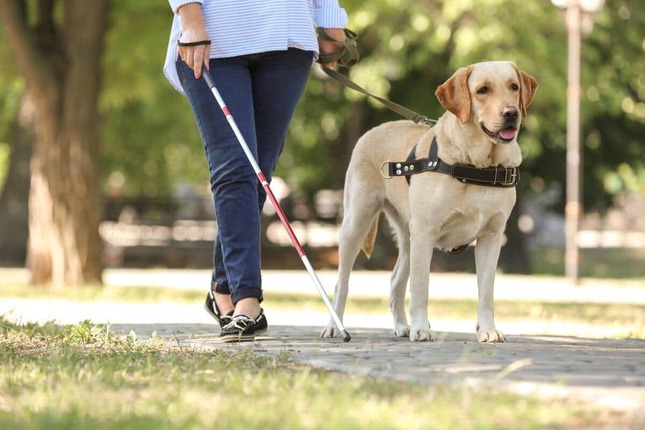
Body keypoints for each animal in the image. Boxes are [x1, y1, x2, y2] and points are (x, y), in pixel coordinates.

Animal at [320, 60, 536, 342]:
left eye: (514, 87)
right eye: (482, 90)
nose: (511, 112)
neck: (476, 167)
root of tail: (376, 129)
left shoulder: (492, 237)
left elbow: (486, 291)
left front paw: (487, 329)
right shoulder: (425, 232)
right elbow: (421, 286)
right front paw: (422, 327)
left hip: (407, 237)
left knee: (395, 280)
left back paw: (402, 326)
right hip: (357, 223)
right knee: (342, 282)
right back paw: (335, 326)